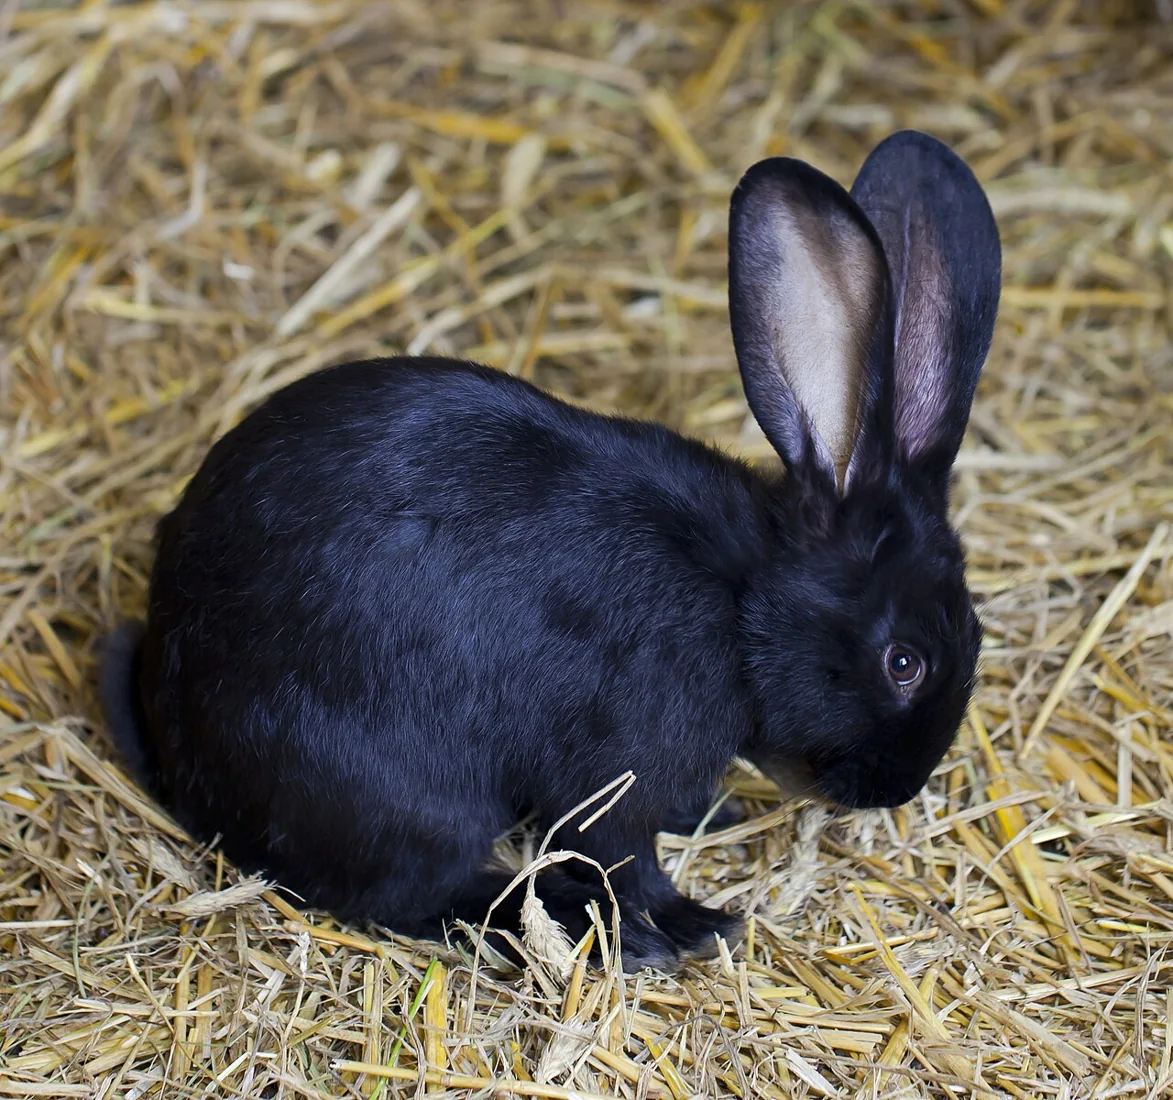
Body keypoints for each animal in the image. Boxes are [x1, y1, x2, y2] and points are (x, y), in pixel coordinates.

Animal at [98, 130, 1000, 972]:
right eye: (903, 663)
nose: (899, 789)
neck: (741, 602)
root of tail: (185, 759)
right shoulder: (612, 769)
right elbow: (625, 857)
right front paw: (691, 926)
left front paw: (713, 815)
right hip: (397, 795)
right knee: (423, 892)